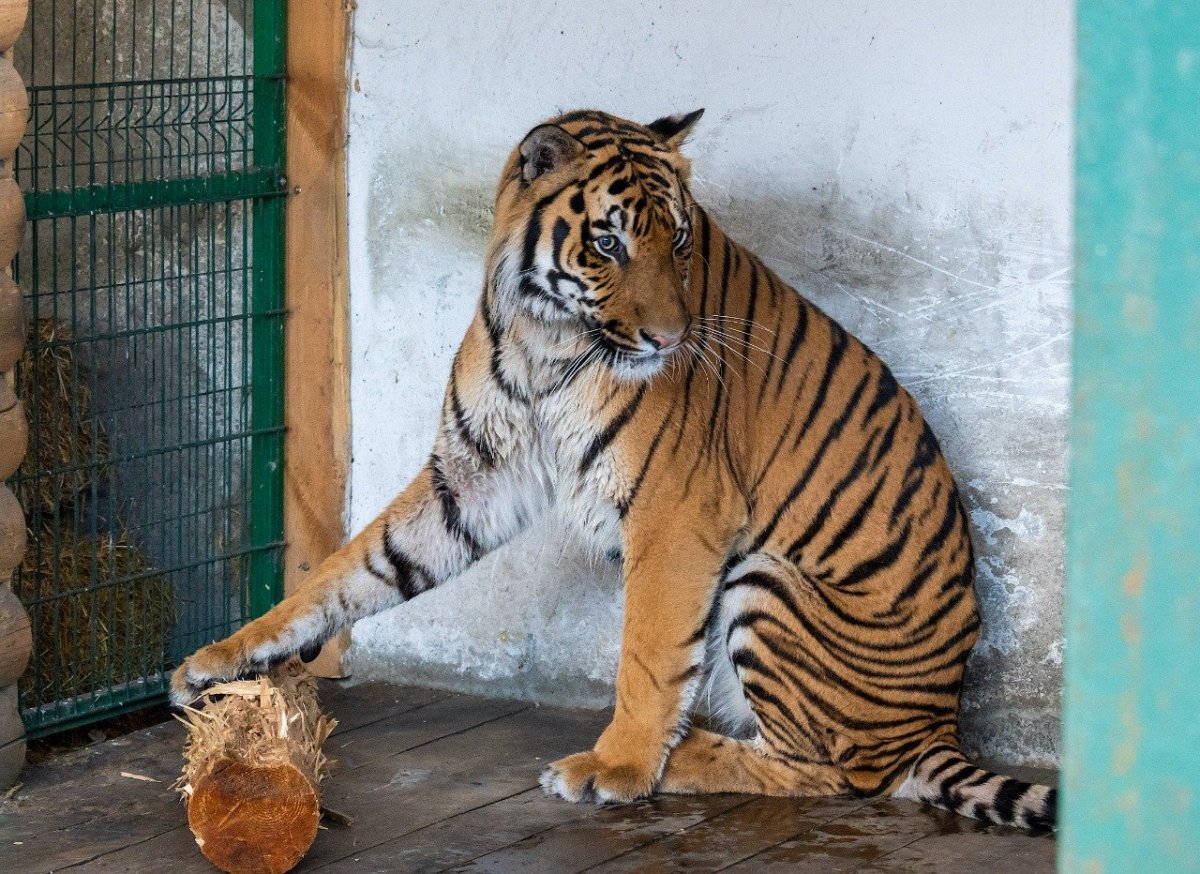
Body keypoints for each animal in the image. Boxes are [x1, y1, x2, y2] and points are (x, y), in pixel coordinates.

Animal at [171, 108, 1057, 831]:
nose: (669, 339)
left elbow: (649, 650)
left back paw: (683, 752)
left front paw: (617, 767)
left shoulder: (676, 511)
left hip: (769, 579)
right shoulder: (474, 476)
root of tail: (939, 721)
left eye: (681, 240)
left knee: (840, 773)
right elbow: (351, 570)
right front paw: (221, 659)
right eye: (608, 242)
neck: (545, 335)